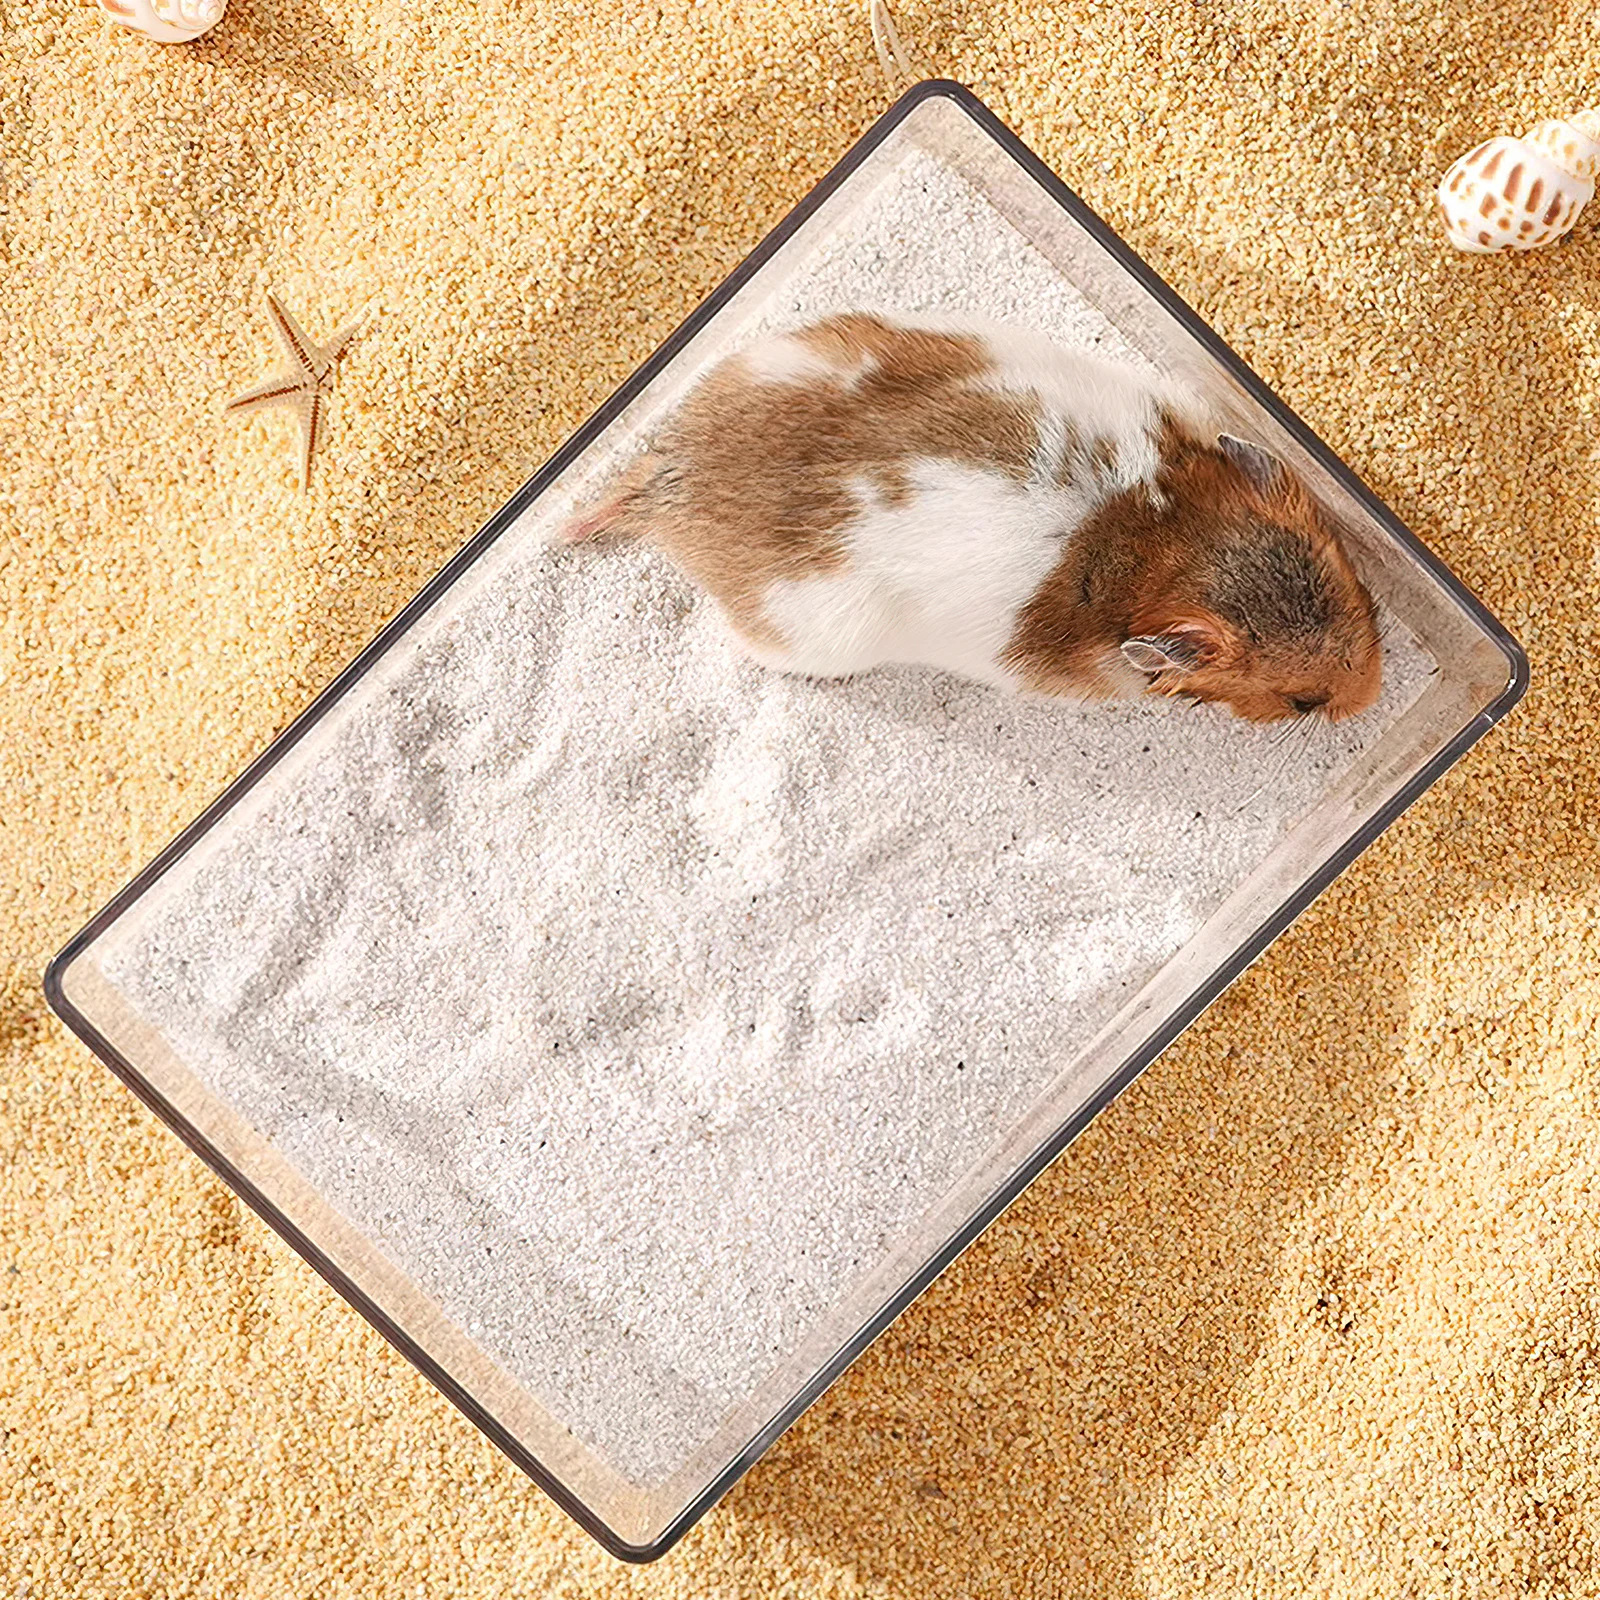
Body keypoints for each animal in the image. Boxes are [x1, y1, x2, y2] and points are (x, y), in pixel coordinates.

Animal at [564, 312, 1383, 724]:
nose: (1371, 699)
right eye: (1302, 702)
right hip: (812, 639)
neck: (1157, 543)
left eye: (1369, 603)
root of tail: (672, 484)